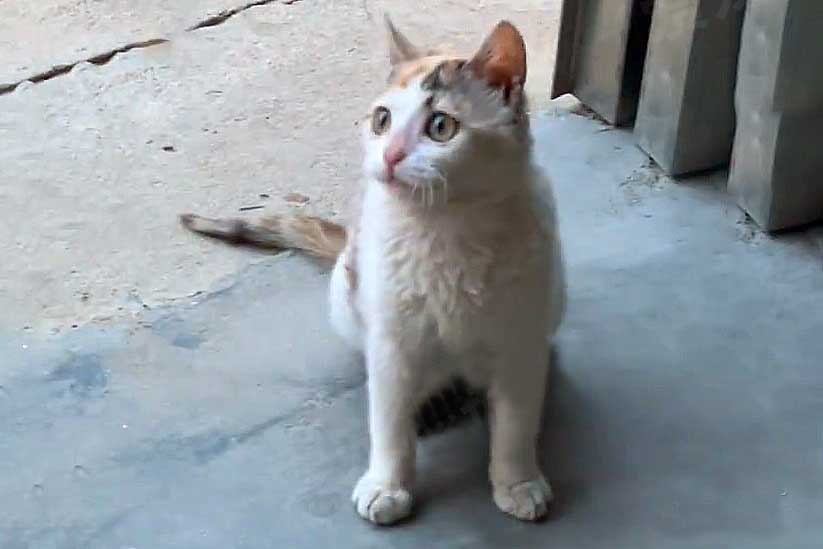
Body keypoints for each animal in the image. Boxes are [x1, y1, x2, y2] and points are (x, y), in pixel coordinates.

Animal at [180, 16, 568, 524]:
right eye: (382, 120)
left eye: (441, 126)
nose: (390, 156)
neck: (446, 230)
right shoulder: (391, 343)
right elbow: (389, 423)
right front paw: (388, 485)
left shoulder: (519, 341)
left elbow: (516, 424)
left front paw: (518, 480)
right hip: (348, 295)